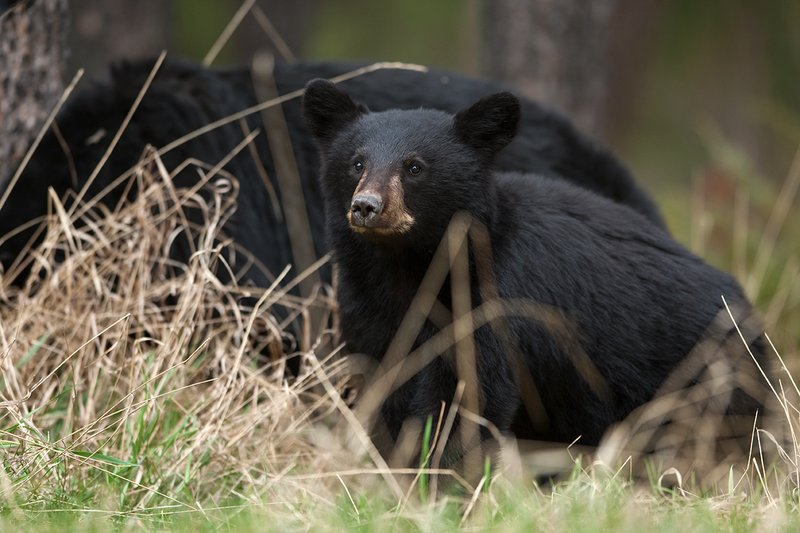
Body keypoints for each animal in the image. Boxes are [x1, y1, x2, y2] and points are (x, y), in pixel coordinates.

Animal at [302, 78, 766, 458]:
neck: (408, 266)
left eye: (415, 167)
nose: (366, 207)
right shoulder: (371, 311)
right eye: (356, 163)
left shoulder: (493, 304)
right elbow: (387, 389)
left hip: (702, 376)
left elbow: (467, 393)